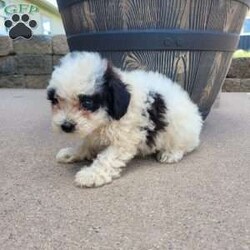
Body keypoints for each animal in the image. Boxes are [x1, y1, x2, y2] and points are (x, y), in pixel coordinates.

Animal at [47, 52, 203, 188]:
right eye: (55, 101)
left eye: (87, 103)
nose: (66, 126)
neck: (108, 117)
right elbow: (87, 143)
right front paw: (73, 153)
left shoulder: (125, 139)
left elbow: (107, 158)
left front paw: (91, 174)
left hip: (179, 130)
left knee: (184, 145)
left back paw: (170, 153)